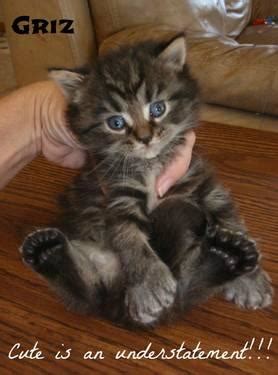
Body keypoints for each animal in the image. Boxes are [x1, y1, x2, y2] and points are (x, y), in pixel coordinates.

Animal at [20, 36, 272, 328]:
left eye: (157, 108)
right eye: (116, 122)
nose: (145, 138)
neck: (152, 165)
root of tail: (117, 300)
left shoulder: (199, 180)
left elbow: (228, 215)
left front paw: (252, 280)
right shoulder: (117, 192)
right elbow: (128, 235)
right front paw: (149, 285)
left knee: (186, 285)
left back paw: (228, 256)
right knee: (88, 293)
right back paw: (49, 254)